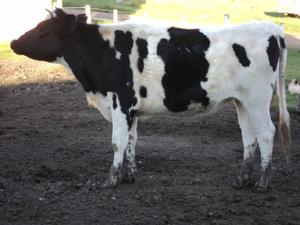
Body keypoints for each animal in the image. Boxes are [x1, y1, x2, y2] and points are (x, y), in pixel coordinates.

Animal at [10, 8, 290, 192]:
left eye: (42, 30)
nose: (13, 42)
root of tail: (272, 30)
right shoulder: (131, 109)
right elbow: (131, 141)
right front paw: (129, 176)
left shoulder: (120, 103)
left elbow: (117, 142)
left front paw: (111, 180)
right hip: (241, 101)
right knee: (248, 136)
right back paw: (242, 180)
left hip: (257, 99)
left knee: (266, 133)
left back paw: (263, 182)